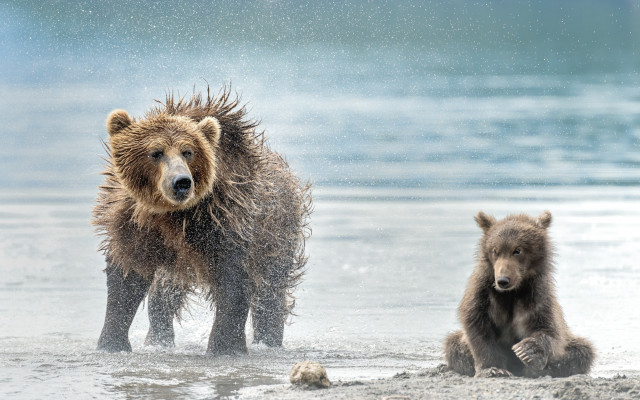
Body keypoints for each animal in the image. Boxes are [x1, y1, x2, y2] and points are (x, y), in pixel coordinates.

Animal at [93, 87, 312, 355]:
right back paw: (159, 340)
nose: (181, 182)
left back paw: (269, 340)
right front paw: (111, 343)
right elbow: (126, 278)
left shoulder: (227, 221)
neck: (174, 215)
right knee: (164, 295)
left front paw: (225, 347)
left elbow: (233, 284)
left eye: (188, 151)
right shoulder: (134, 225)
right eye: (156, 153)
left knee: (269, 292)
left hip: (275, 236)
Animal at [444, 211, 594, 378]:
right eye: (495, 250)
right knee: (453, 346)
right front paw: (493, 369)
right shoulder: (483, 293)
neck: (512, 292)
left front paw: (527, 351)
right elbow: (477, 325)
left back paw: (540, 369)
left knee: (583, 350)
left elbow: (550, 329)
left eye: (517, 250)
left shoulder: (538, 295)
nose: (503, 280)